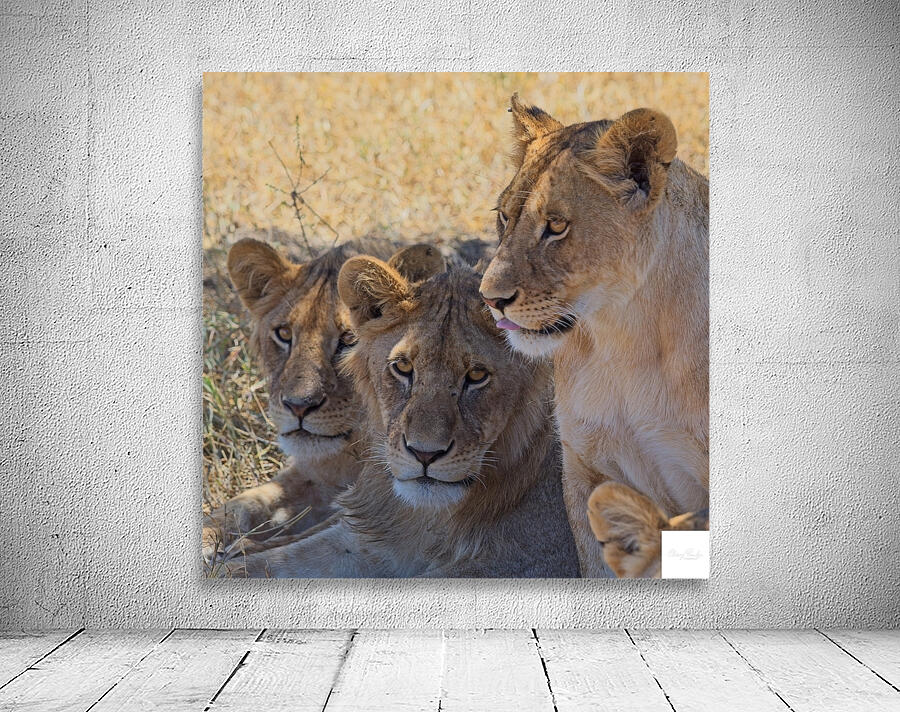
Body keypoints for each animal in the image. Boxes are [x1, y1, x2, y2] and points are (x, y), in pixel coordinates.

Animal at [202, 237, 450, 562]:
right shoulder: (314, 474)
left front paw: (241, 551)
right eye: (284, 333)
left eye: (349, 340)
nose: (298, 406)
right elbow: (242, 504)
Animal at [217, 257, 579, 578]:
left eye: (476, 375)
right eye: (403, 367)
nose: (424, 454)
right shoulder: (370, 539)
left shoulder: (531, 560)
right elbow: (257, 567)